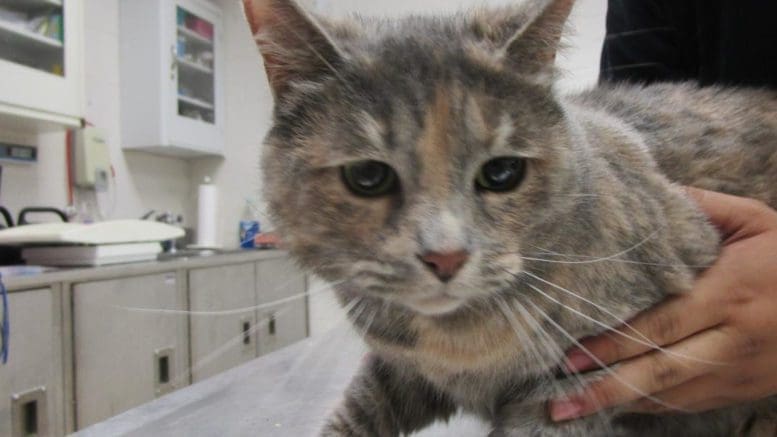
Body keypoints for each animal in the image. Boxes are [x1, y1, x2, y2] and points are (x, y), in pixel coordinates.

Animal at [242, 0, 776, 434]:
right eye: (367, 176)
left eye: (502, 172)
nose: (445, 257)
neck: (459, 343)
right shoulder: (402, 369)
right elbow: (360, 408)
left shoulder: (574, 386)